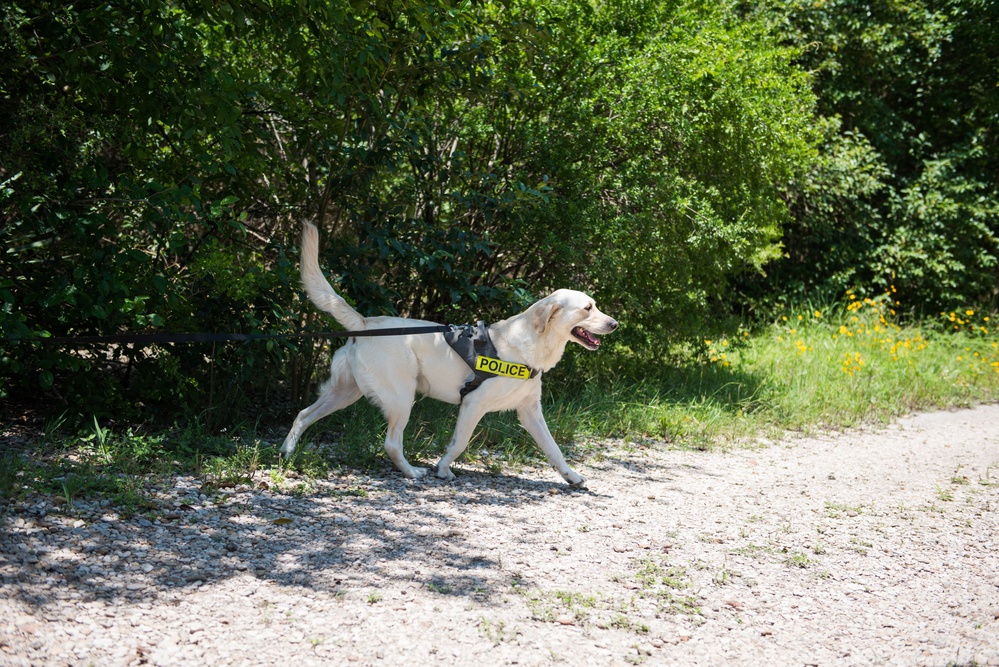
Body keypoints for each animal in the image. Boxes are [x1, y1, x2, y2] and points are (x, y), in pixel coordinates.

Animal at [276, 223, 616, 486]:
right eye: (588, 308)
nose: (615, 323)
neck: (531, 343)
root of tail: (364, 323)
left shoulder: (530, 411)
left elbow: (554, 448)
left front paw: (572, 477)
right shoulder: (474, 403)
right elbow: (460, 442)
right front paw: (442, 468)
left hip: (346, 393)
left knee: (303, 414)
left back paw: (287, 452)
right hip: (401, 397)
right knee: (391, 443)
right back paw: (412, 472)